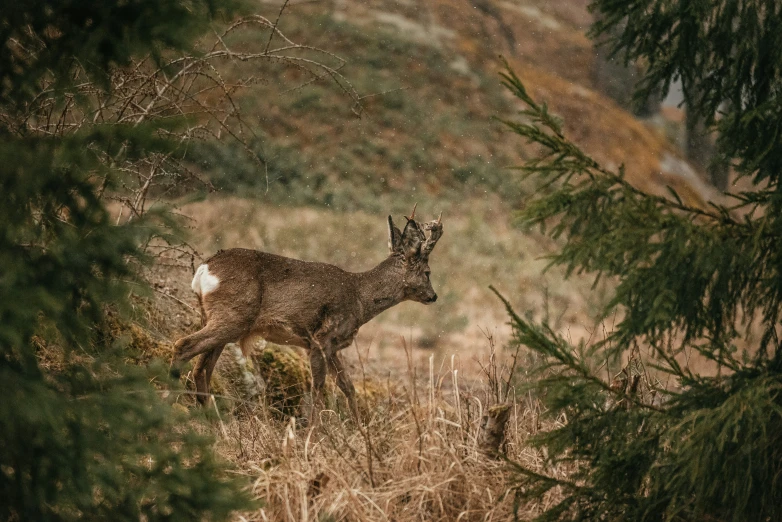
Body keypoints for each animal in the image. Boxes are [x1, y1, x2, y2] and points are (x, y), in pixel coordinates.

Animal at [172, 204, 444, 418]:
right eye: (428, 272)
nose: (433, 296)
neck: (360, 297)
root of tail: (204, 270)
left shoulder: (332, 346)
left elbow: (347, 386)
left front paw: (360, 429)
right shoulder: (321, 338)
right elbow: (318, 388)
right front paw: (316, 434)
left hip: (218, 319)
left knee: (201, 369)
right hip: (232, 316)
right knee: (184, 346)